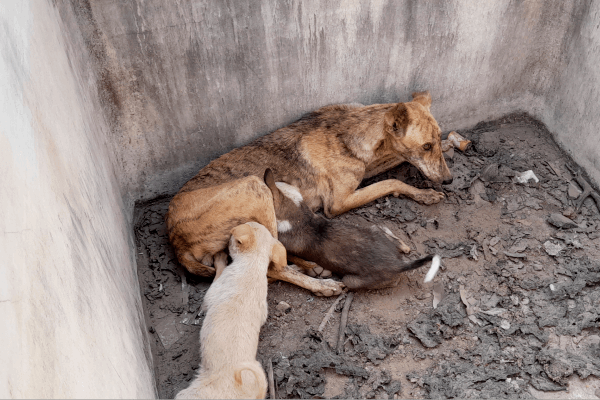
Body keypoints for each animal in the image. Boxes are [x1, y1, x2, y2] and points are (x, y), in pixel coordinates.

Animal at [168, 91, 450, 294]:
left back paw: (311, 266)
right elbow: (391, 182)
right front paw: (425, 193)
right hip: (255, 187)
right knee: (272, 267)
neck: (351, 132)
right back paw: (320, 284)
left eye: (437, 138)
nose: (450, 179)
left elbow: (394, 162)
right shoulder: (338, 203)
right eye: (426, 146)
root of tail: (174, 238)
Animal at [175, 222, 288, 400]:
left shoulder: (214, 290)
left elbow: (217, 275)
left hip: (191, 394)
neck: (253, 265)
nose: (225, 244)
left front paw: (220, 257)